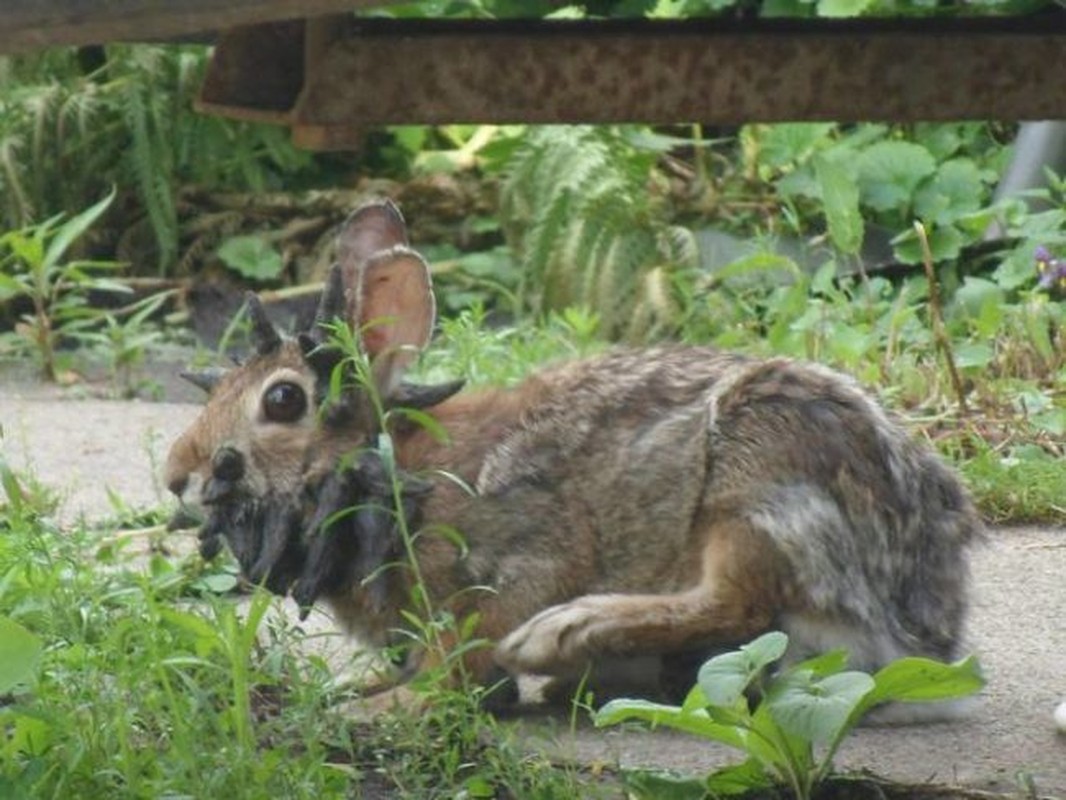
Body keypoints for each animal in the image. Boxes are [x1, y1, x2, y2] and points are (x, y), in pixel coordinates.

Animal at [162, 200, 984, 712]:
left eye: (282, 402)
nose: (177, 476)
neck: (393, 468)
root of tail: (923, 626)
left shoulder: (518, 558)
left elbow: (463, 658)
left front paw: (384, 708)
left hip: (756, 480)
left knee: (734, 601)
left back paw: (564, 637)